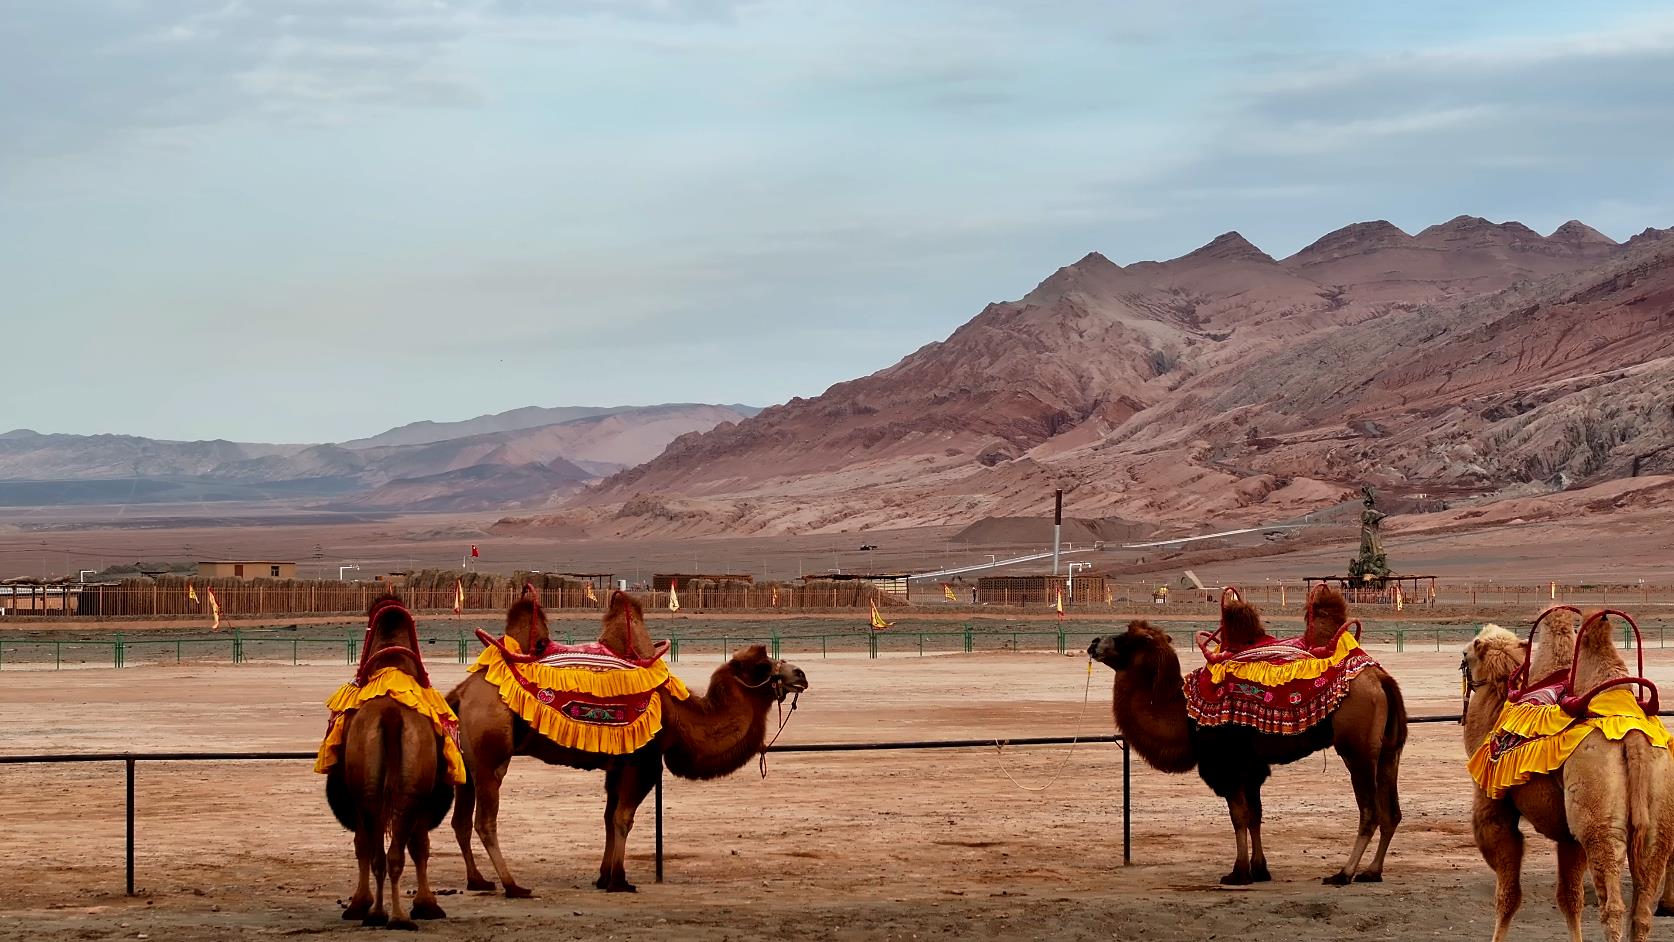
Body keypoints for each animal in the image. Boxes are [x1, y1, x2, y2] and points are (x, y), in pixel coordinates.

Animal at [323, 595, 455, 930]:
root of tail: (392, 715)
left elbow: (363, 845)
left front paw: (359, 904)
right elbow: (418, 846)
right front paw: (426, 905)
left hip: (373, 792)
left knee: (380, 852)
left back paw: (381, 913)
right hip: (408, 791)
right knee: (395, 852)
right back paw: (395, 916)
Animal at [448, 592, 806, 896]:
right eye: (762, 666)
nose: (800, 674)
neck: (679, 715)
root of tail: (461, 692)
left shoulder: (617, 764)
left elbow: (608, 817)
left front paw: (603, 876)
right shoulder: (643, 760)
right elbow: (624, 817)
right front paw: (619, 881)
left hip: (468, 759)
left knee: (461, 821)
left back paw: (478, 881)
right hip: (491, 755)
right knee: (485, 822)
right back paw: (513, 886)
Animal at [1091, 615, 1406, 890]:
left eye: (1130, 638)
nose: (1095, 643)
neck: (1185, 715)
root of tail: (1381, 679)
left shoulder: (1226, 765)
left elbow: (1238, 816)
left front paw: (1238, 872)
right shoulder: (1252, 766)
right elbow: (1255, 814)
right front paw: (1260, 870)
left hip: (1357, 749)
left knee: (1370, 811)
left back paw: (1343, 873)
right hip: (1389, 751)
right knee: (1391, 812)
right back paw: (1372, 872)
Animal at [1459, 612, 1674, 942]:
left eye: (1466, 654)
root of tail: (1633, 738)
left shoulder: (1492, 807)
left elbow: (1508, 895)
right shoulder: (1568, 834)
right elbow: (1570, 897)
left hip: (1600, 820)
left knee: (1613, 906)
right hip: (1657, 812)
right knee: (1641, 909)